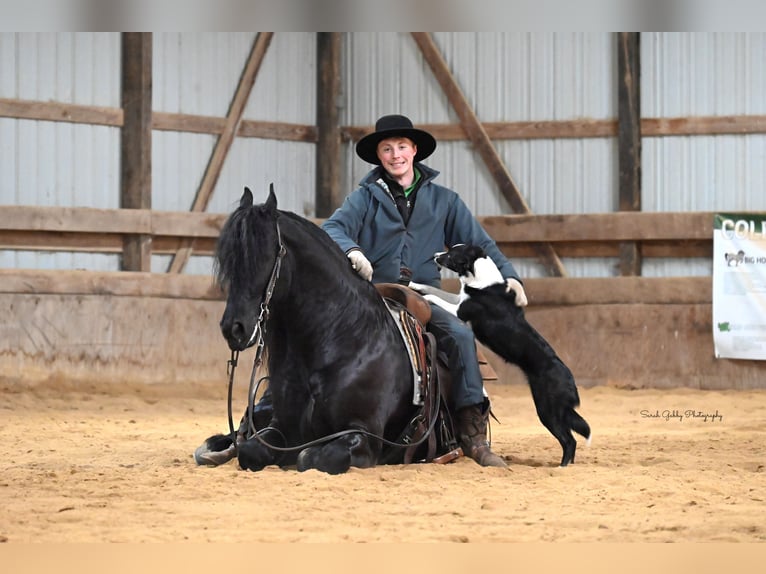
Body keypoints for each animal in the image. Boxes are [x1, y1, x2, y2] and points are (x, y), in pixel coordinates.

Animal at [196, 187, 456, 474]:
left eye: (263, 257)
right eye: (229, 261)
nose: (234, 328)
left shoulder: (363, 436)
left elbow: (310, 457)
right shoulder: (281, 428)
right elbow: (251, 451)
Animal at [412, 244, 592, 468]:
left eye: (451, 255)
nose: (435, 255)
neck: (481, 277)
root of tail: (570, 383)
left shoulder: (460, 310)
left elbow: (437, 297)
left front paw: (424, 296)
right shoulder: (459, 299)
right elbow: (437, 290)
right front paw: (416, 285)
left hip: (547, 410)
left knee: (569, 440)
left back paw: (563, 466)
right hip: (558, 411)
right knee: (572, 436)